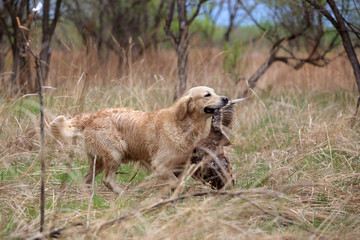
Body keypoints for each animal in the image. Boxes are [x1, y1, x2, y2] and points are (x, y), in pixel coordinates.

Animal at [50, 86, 228, 193]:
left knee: (87, 178)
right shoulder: (160, 165)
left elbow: (177, 182)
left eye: (214, 92)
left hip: (98, 160)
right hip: (115, 152)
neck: (183, 124)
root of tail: (92, 116)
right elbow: (175, 182)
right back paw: (121, 192)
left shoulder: (181, 165)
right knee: (107, 179)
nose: (225, 98)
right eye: (207, 95)